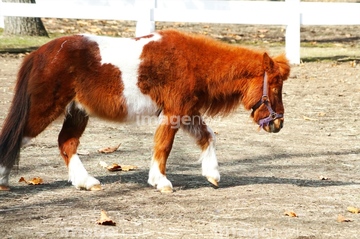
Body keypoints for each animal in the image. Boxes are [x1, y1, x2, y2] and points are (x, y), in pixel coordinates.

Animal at [0, 29, 290, 192]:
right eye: (276, 86)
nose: (278, 124)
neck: (192, 62)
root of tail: (38, 54)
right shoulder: (174, 113)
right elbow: (164, 146)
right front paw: (161, 182)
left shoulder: (186, 111)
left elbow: (207, 137)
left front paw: (212, 175)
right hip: (44, 110)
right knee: (15, 138)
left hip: (77, 113)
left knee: (66, 143)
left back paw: (87, 182)